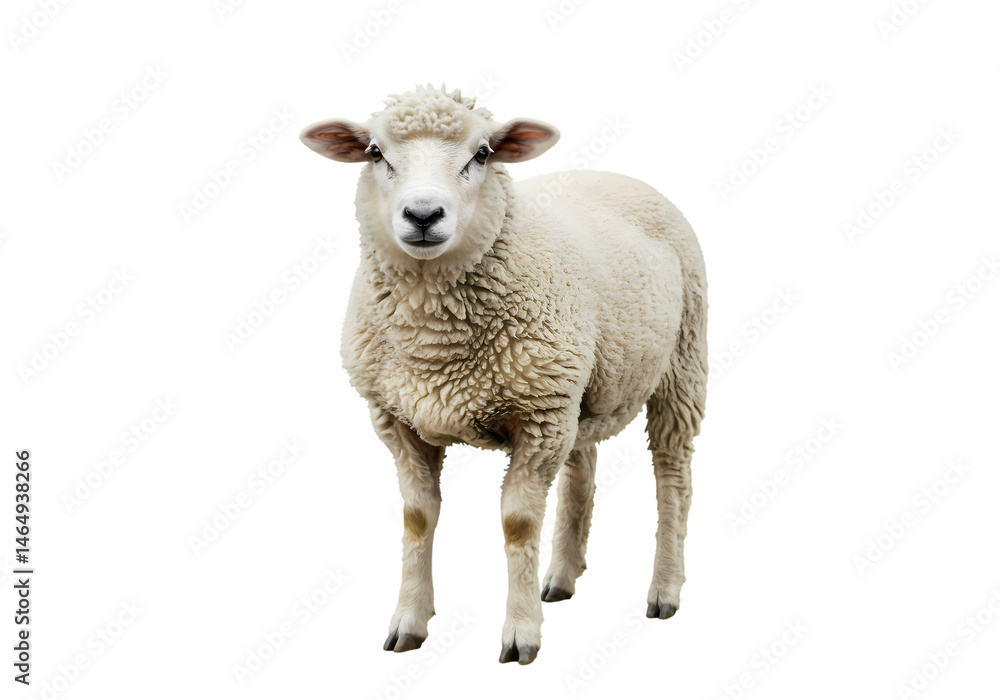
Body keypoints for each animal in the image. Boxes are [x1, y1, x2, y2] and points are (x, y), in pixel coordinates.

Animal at [300, 84, 708, 665]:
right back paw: (561, 577)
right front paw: (408, 622)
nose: (423, 214)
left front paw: (521, 634)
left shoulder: (538, 419)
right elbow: (417, 518)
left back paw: (665, 589)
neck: (433, 342)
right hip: (577, 388)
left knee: (672, 474)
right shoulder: (399, 421)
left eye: (483, 153)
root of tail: (612, 174)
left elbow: (518, 524)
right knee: (582, 469)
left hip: (681, 363)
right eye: (375, 153)